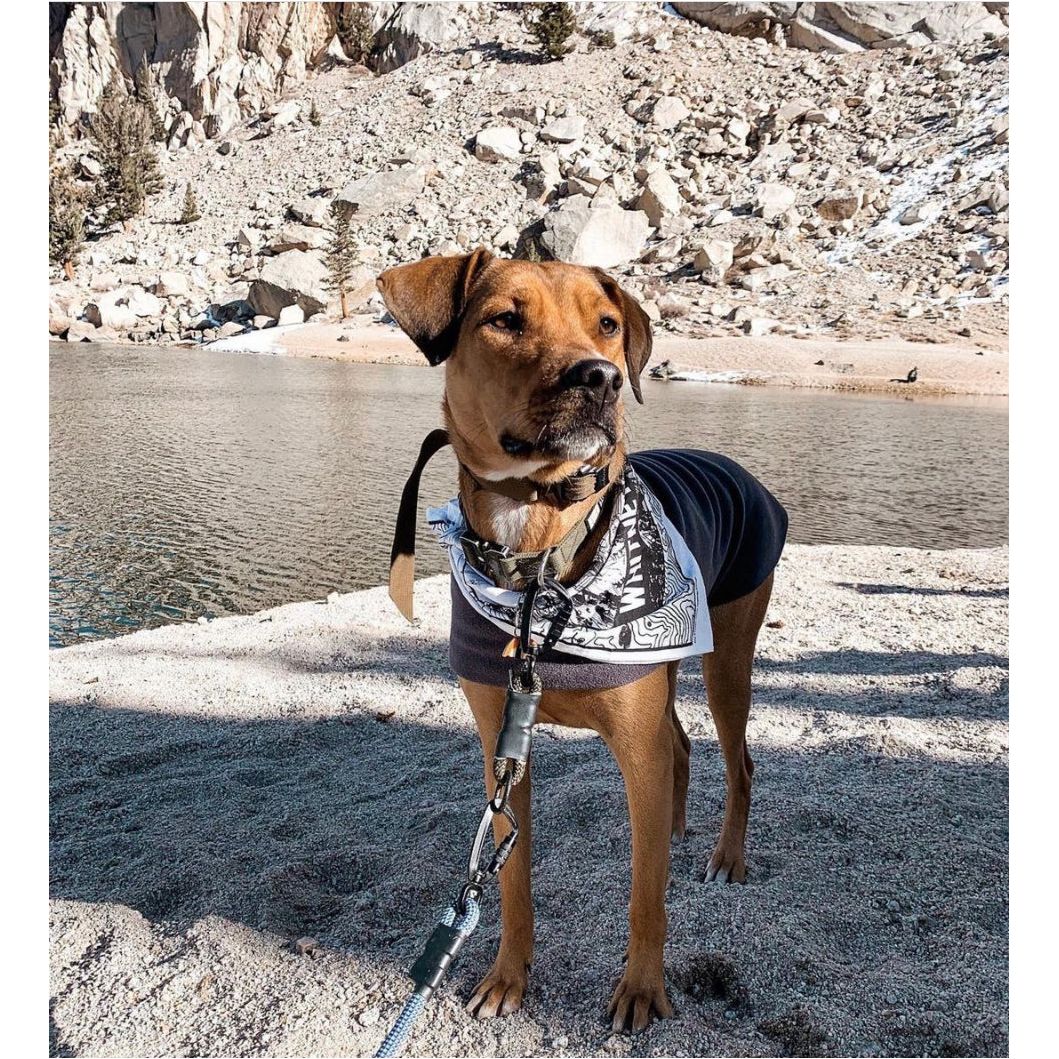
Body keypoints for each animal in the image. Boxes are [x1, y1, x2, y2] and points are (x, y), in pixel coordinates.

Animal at [377, 249, 775, 1033]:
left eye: (608, 325)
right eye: (505, 319)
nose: (600, 377)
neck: (536, 555)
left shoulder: (634, 745)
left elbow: (646, 895)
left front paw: (642, 990)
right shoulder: (503, 751)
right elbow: (511, 885)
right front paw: (507, 977)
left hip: (726, 656)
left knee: (736, 760)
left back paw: (725, 856)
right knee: (680, 744)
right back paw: (676, 829)